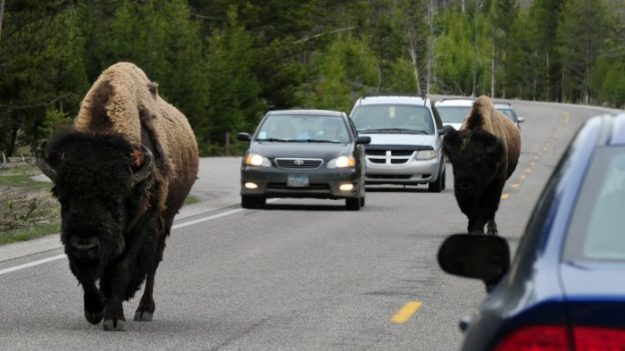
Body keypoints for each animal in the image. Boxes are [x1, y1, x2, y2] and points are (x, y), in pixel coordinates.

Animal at [36, 62, 197, 332]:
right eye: (63, 199)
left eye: (116, 200)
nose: (84, 245)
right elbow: (84, 273)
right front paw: (94, 310)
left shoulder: (141, 222)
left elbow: (122, 267)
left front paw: (113, 318)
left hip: (166, 219)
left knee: (153, 264)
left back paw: (144, 310)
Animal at [442, 95, 520, 235]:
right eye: (455, 162)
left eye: (480, 163)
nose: (465, 186)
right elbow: (469, 210)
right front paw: (471, 228)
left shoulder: (495, 183)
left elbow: (486, 207)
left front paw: (478, 229)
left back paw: (492, 229)